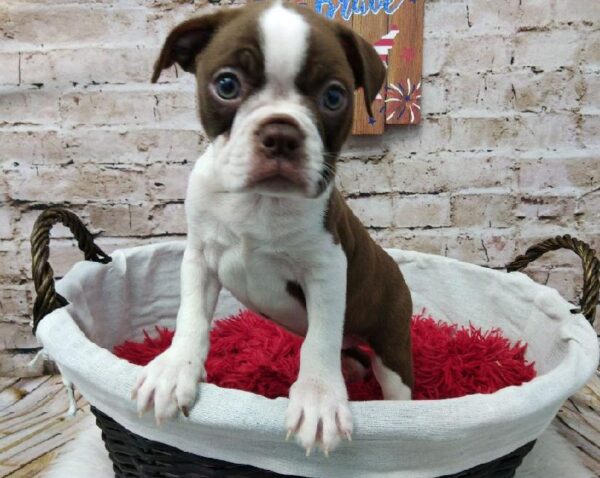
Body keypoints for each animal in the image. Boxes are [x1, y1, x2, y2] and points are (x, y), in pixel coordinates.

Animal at [132, 0, 412, 456]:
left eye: (333, 96)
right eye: (227, 85)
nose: (281, 134)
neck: (258, 200)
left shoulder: (326, 269)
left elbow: (319, 339)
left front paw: (318, 399)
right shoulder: (200, 259)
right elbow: (191, 315)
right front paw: (173, 370)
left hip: (392, 339)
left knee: (392, 380)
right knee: (349, 353)